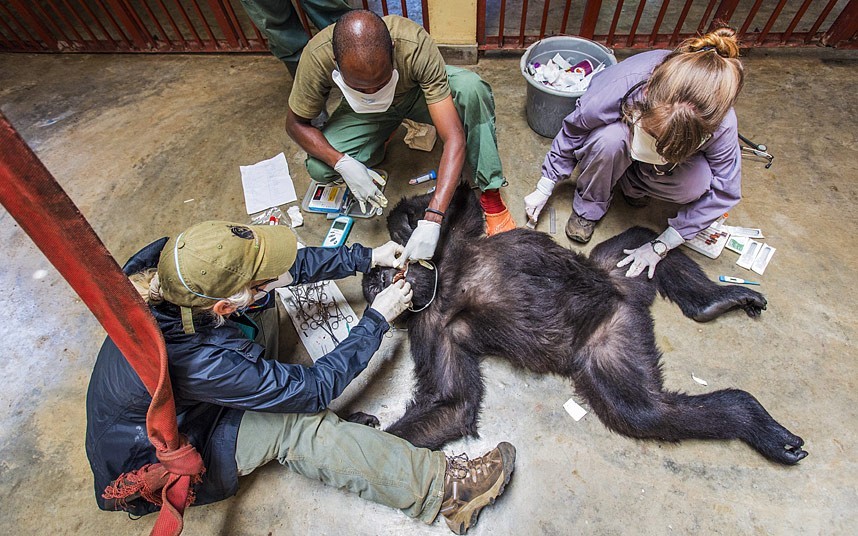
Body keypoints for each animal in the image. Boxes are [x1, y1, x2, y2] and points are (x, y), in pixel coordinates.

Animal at [360, 185, 804, 464]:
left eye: (380, 280)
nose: (375, 279)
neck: (444, 280)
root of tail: (628, 304)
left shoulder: (454, 243)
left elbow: (462, 201)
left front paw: (408, 230)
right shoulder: (432, 328)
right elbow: (452, 405)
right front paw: (359, 429)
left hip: (618, 270)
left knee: (642, 240)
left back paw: (715, 301)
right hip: (612, 344)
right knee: (647, 412)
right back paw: (745, 410)